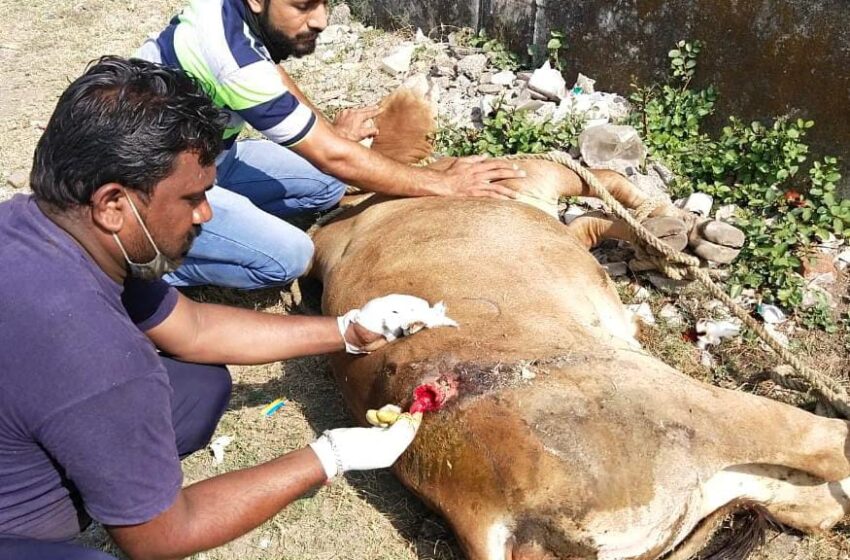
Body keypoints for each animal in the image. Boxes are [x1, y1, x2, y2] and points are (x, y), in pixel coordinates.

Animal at [310, 89, 848, 556]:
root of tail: (485, 517)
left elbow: (598, 210)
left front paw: (668, 237)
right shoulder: (533, 173)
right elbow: (602, 180)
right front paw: (676, 230)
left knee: (817, 503)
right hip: (684, 407)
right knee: (822, 445)